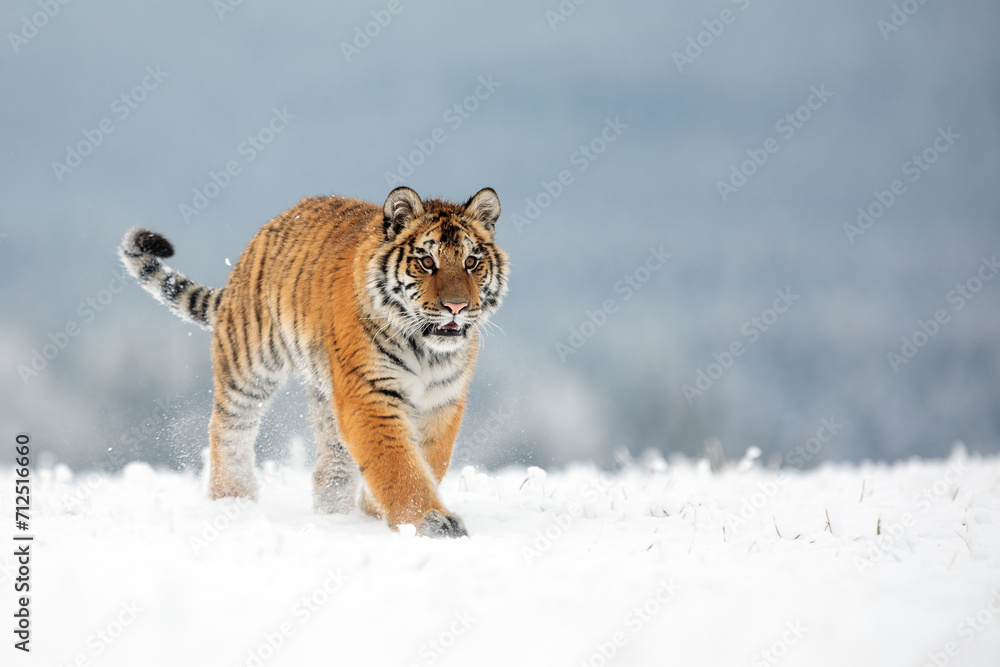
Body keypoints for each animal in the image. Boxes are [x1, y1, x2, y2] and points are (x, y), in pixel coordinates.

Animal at [118, 187, 508, 537]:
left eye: (471, 262)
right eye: (427, 262)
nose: (456, 306)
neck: (427, 350)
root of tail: (265, 231)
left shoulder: (441, 399)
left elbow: (427, 459)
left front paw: (377, 510)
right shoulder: (370, 393)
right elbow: (398, 463)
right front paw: (430, 521)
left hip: (326, 395)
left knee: (332, 462)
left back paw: (332, 515)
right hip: (250, 364)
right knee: (229, 429)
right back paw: (233, 500)